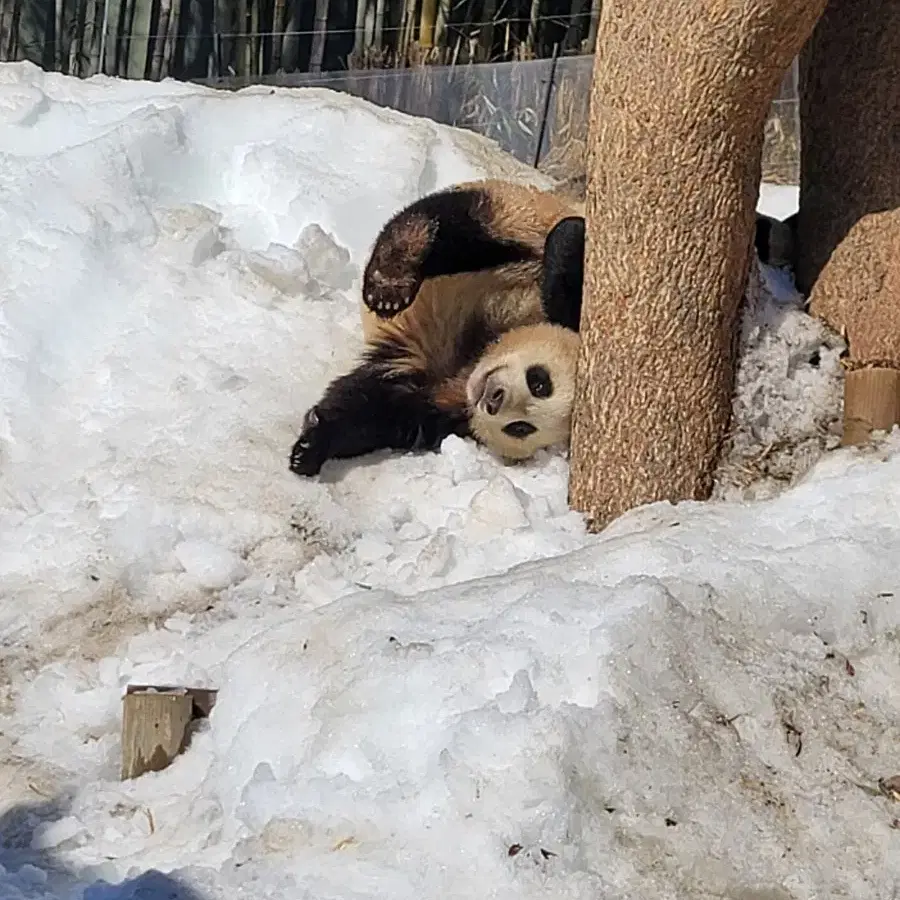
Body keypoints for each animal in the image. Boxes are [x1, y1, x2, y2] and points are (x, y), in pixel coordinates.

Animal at [288, 178, 584, 478]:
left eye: (521, 428)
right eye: (540, 383)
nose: (494, 400)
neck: (473, 360)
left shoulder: (443, 405)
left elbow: (379, 410)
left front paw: (311, 447)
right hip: (519, 215)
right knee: (455, 224)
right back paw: (390, 280)